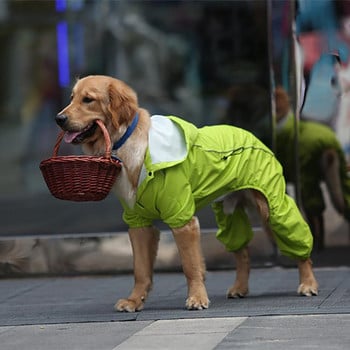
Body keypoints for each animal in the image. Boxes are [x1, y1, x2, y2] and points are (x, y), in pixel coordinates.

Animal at [55, 75, 320, 310]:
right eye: (71, 97)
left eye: (88, 99)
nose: (59, 118)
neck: (129, 145)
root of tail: (251, 135)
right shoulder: (137, 223)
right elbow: (141, 270)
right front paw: (134, 300)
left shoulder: (182, 219)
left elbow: (190, 266)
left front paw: (197, 298)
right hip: (229, 214)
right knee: (242, 253)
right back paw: (240, 288)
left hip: (272, 210)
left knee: (300, 246)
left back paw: (308, 283)